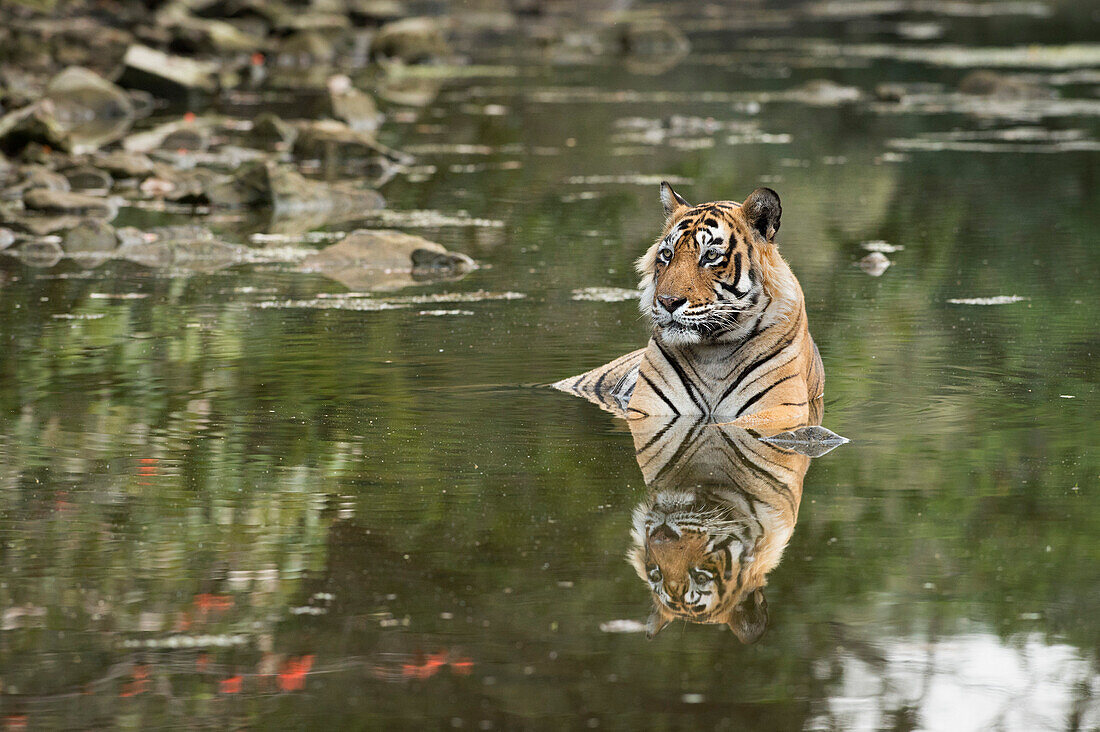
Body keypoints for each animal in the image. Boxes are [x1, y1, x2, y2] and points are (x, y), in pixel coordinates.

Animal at [554, 180, 822, 429]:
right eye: (667, 254)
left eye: (711, 256)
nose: (668, 301)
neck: (713, 354)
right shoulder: (647, 408)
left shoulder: (781, 408)